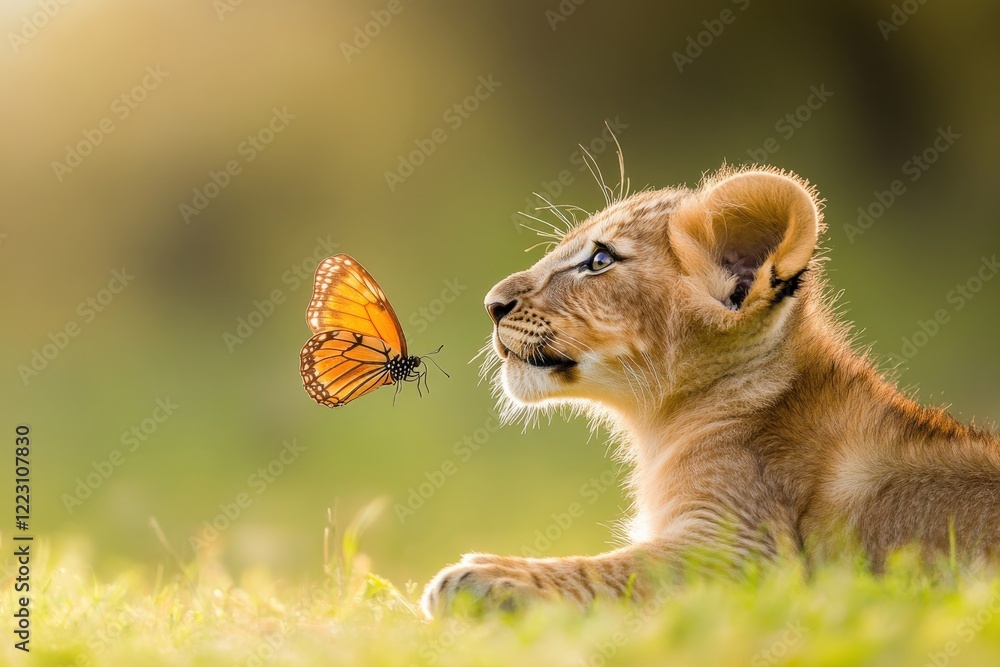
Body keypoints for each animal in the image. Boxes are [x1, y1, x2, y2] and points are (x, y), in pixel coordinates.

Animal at [421, 165, 1000, 617]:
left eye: (600, 261)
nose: (492, 304)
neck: (663, 423)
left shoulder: (755, 555)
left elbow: (619, 571)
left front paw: (486, 578)